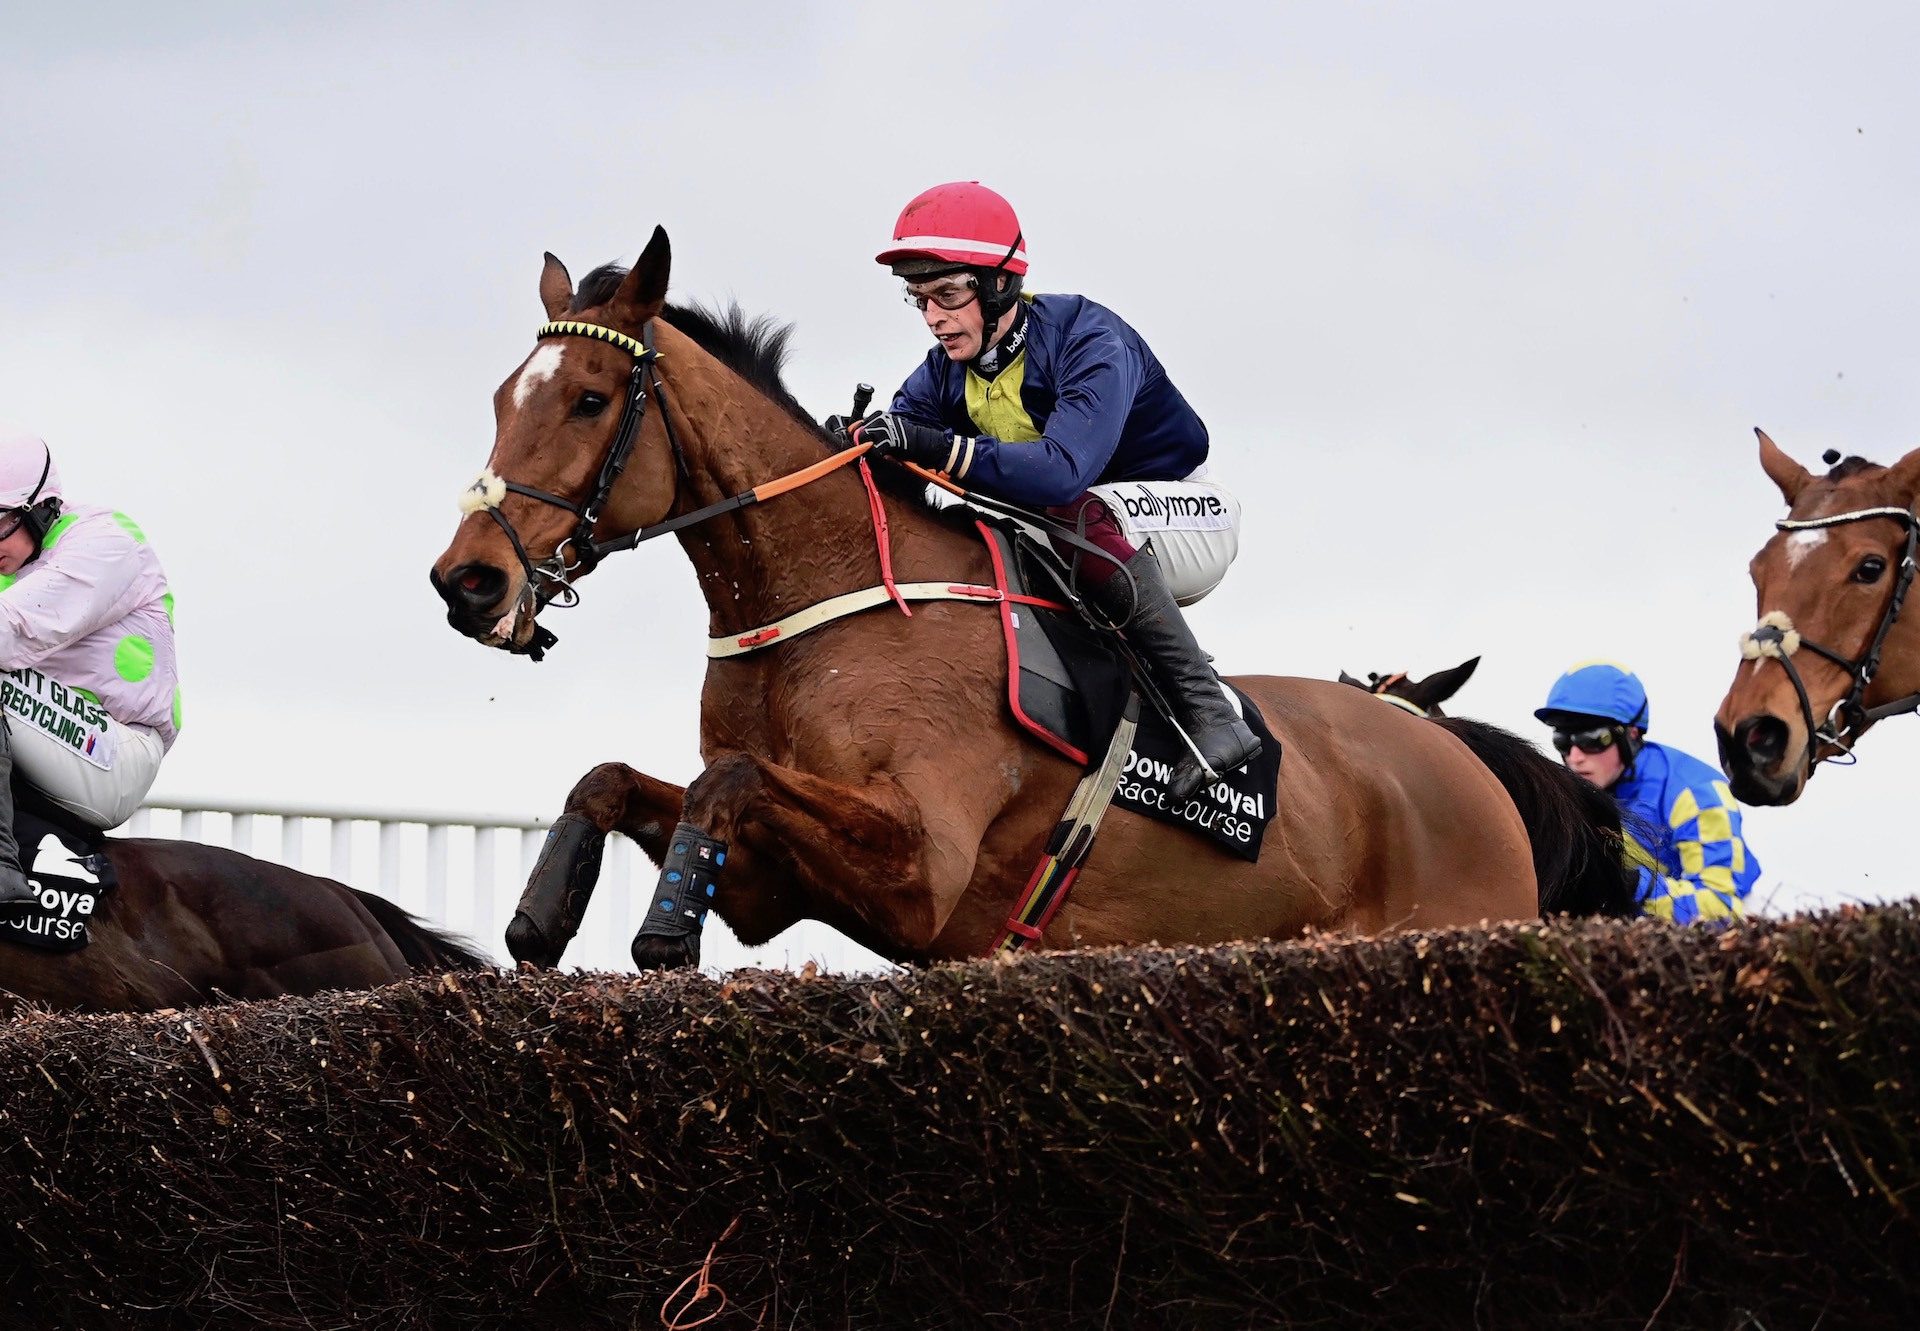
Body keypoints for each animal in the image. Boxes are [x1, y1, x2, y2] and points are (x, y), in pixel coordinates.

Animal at [428, 220, 1628, 964]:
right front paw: (540, 914)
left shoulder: (923, 867)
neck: (822, 608)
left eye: (589, 399)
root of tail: (1462, 754)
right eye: (499, 398)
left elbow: (728, 774)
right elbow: (620, 780)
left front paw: (666, 929)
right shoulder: (774, 884)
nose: (466, 581)